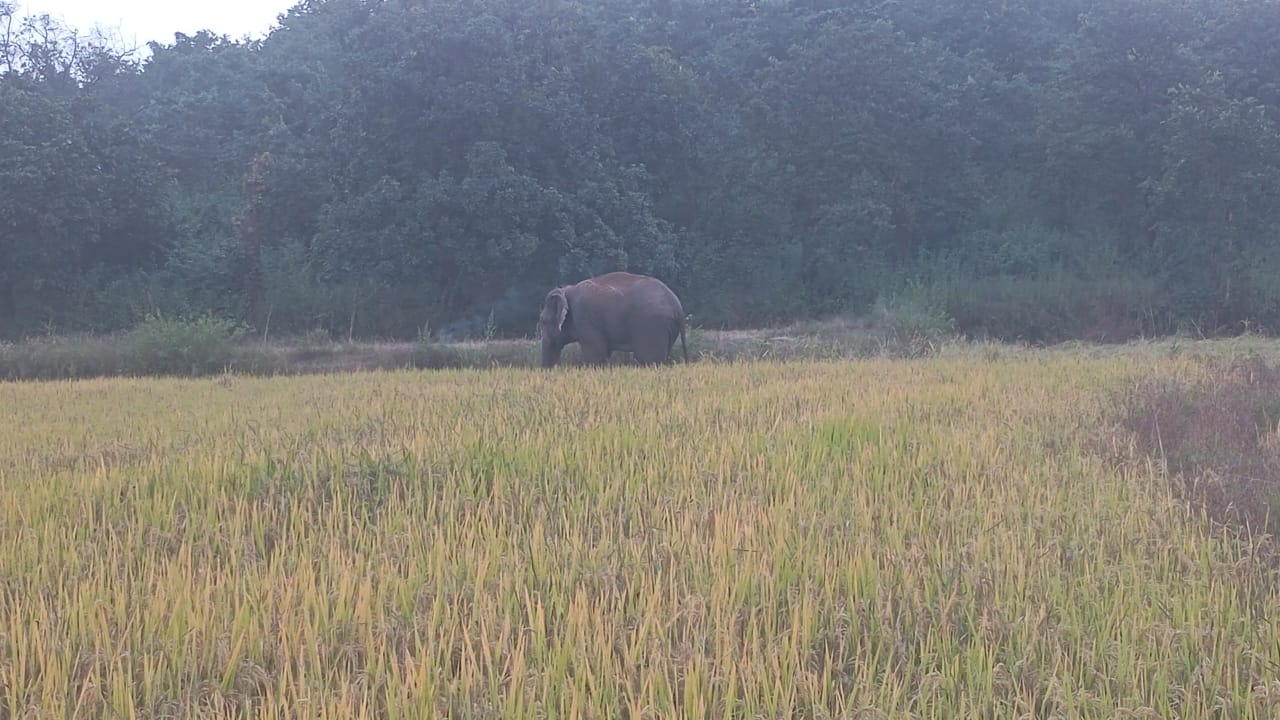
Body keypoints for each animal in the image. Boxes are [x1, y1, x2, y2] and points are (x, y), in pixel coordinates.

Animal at [538, 271, 689, 368]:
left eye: (543, 321)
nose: (547, 369)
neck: (567, 290)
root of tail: (678, 306)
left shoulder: (585, 319)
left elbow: (596, 354)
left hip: (652, 326)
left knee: (648, 359)